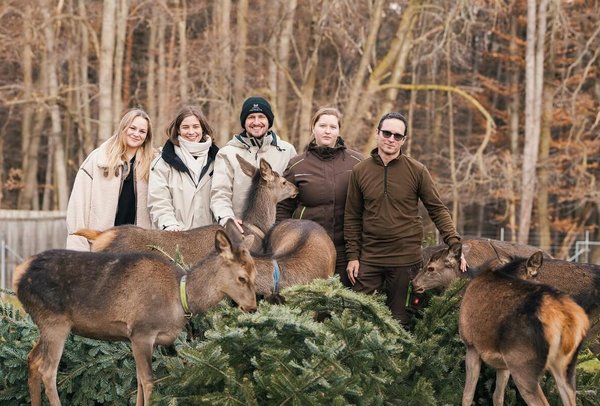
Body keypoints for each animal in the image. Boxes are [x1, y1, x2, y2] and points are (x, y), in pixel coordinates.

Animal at [12, 228, 255, 406]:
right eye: (242, 278)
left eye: (254, 274)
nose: (252, 308)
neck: (180, 297)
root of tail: (17, 275)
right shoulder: (142, 332)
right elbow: (148, 382)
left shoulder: (138, 339)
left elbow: (138, 381)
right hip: (55, 322)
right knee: (48, 371)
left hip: (46, 323)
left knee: (32, 359)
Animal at [462, 256, 588, 406]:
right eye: (537, 276)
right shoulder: (504, 364)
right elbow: (498, 396)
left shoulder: (471, 345)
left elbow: (467, 395)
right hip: (566, 364)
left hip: (523, 362)